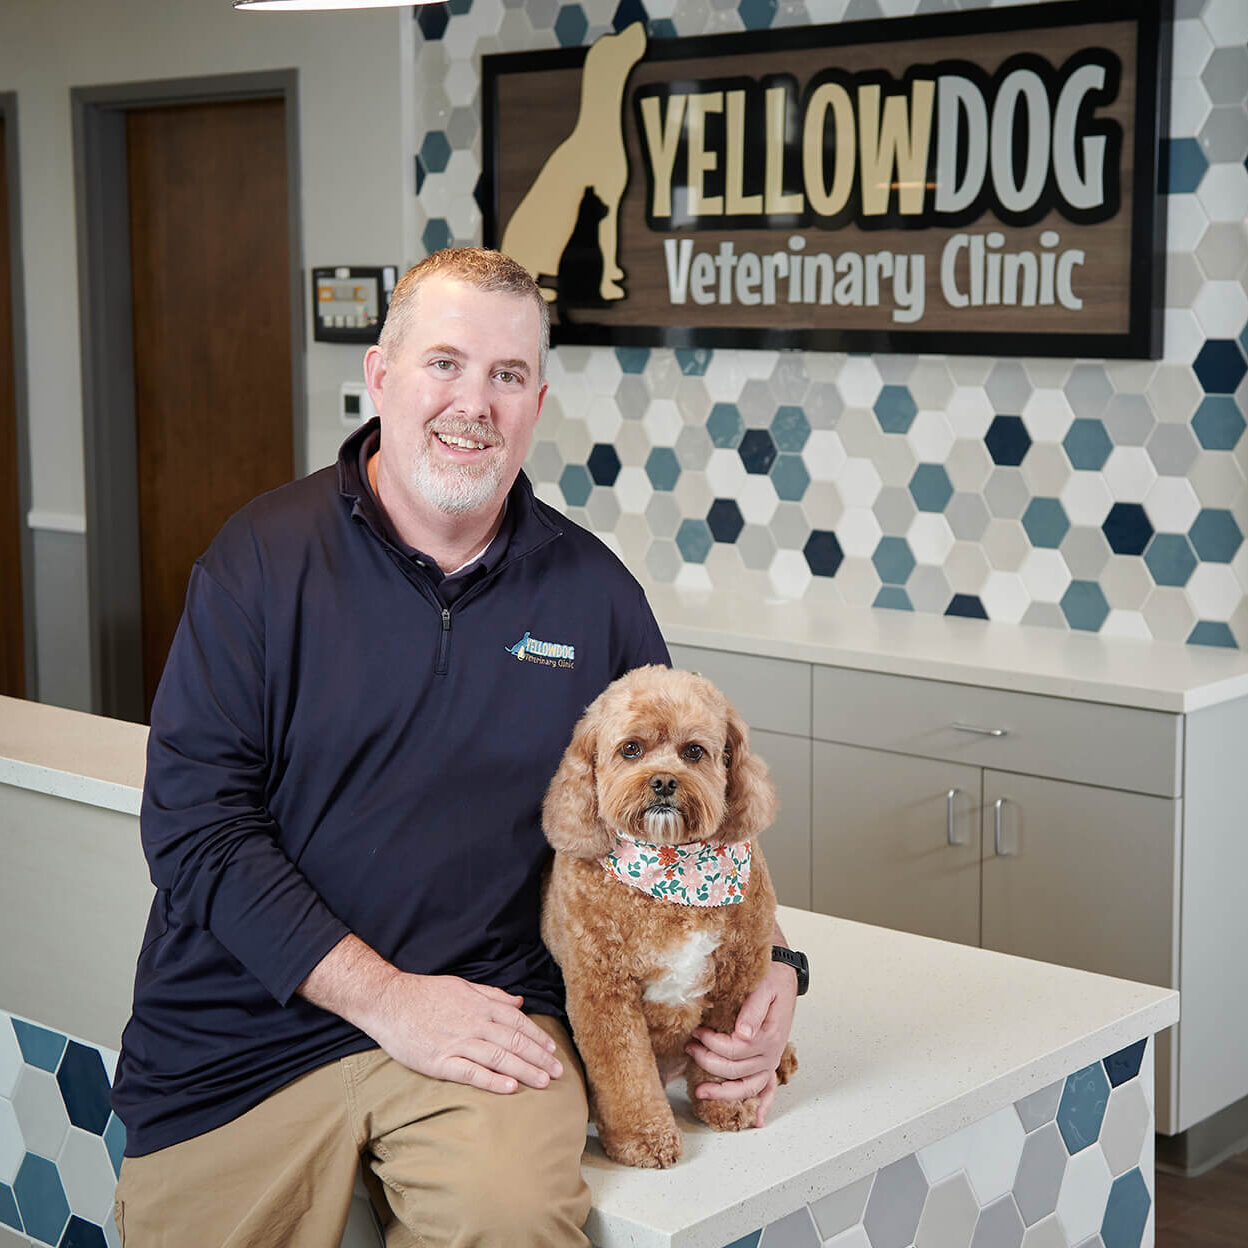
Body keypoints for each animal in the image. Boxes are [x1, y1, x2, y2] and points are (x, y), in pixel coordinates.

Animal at [539, 668, 793, 1163]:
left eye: (693, 751)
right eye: (630, 749)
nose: (662, 782)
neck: (674, 880)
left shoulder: (736, 982)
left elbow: (728, 1058)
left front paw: (728, 1105)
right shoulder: (603, 994)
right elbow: (624, 1074)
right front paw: (642, 1137)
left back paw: (783, 1058)